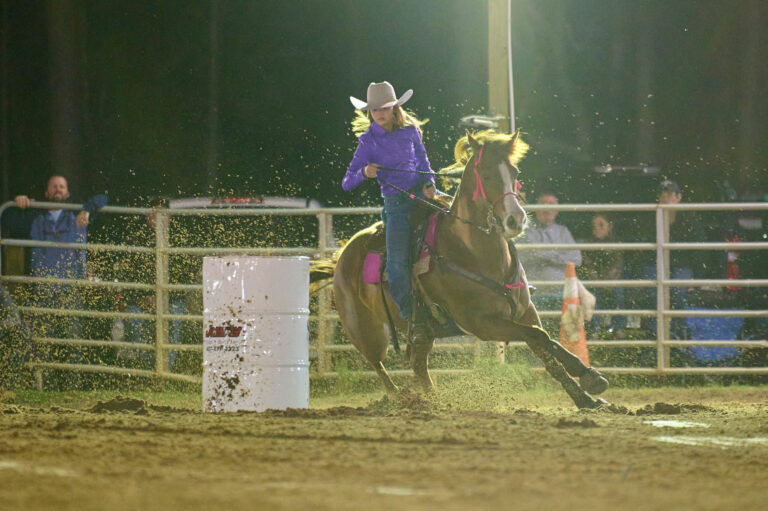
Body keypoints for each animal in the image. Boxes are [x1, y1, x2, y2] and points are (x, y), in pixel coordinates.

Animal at [316, 130, 608, 410]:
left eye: (514, 172)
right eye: (487, 174)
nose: (516, 219)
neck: (472, 252)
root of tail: (342, 256)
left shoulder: (525, 310)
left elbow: (546, 345)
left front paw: (587, 390)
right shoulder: (483, 324)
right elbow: (539, 336)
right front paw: (586, 379)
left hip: (422, 334)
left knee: (418, 365)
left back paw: (434, 401)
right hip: (365, 332)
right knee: (379, 366)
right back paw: (402, 399)